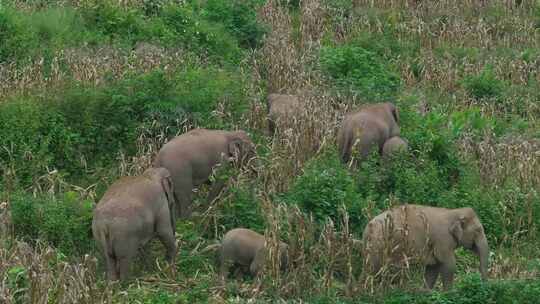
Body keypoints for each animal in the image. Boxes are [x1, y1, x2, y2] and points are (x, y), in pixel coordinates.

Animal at [362, 204, 490, 290]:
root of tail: (367, 228)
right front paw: (449, 294)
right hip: (379, 245)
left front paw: (426, 293)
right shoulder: (443, 240)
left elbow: (433, 267)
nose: (484, 285)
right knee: (376, 270)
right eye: (478, 230)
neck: (454, 212)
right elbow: (449, 264)